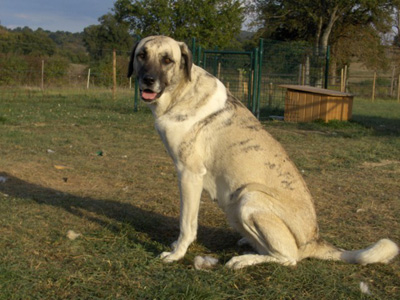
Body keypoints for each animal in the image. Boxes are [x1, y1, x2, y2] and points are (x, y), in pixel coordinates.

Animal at [127, 36, 396, 268]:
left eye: (167, 60)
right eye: (142, 55)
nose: (148, 80)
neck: (180, 91)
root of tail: (315, 240)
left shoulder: (189, 174)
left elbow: (187, 223)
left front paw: (176, 254)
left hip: (249, 198)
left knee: (289, 258)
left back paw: (243, 260)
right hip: (234, 206)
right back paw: (248, 243)